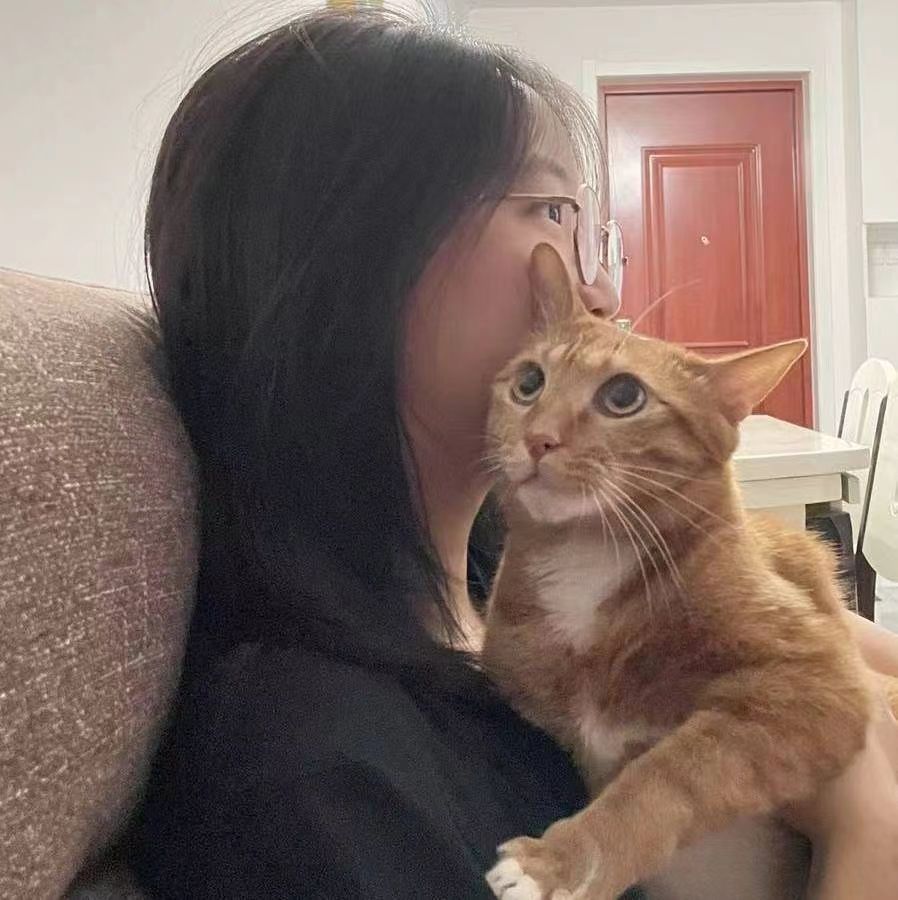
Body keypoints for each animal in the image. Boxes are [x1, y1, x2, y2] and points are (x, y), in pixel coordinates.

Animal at [482, 243, 895, 900]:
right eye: (528, 382)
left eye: (623, 396)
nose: (538, 438)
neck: (584, 559)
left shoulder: (818, 684)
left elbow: (664, 776)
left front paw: (555, 863)